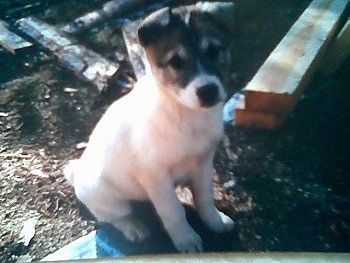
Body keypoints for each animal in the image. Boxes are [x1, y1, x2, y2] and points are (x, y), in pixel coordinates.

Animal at [65, 4, 235, 254]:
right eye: (176, 62)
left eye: (213, 51)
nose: (208, 92)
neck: (184, 115)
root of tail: (77, 172)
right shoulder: (156, 176)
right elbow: (173, 211)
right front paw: (186, 239)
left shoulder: (204, 162)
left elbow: (205, 198)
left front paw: (215, 221)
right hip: (107, 196)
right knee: (114, 217)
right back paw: (133, 227)